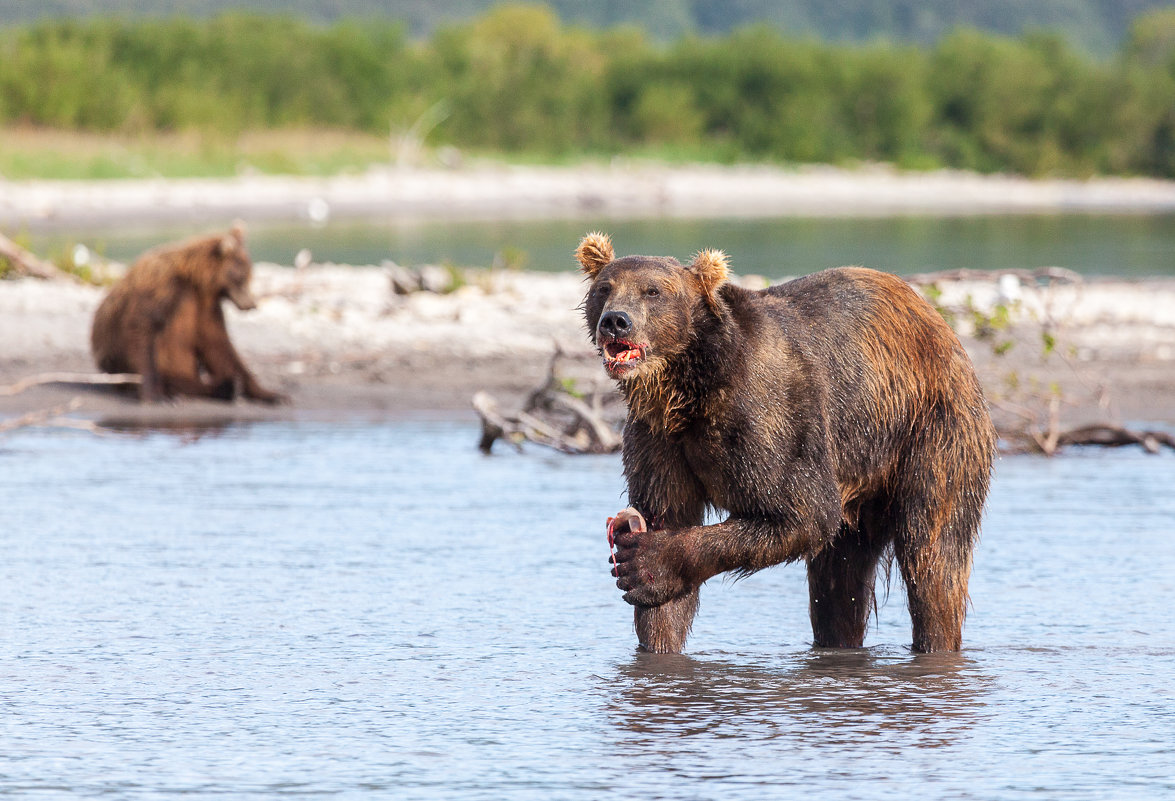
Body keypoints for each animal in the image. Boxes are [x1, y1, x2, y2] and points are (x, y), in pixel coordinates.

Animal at [90, 223, 285, 399]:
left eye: (249, 274)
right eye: (242, 277)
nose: (252, 304)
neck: (195, 279)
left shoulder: (204, 304)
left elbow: (218, 343)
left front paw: (268, 393)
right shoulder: (162, 286)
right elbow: (140, 327)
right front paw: (152, 393)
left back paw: (226, 387)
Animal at [575, 229, 991, 648]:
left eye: (653, 291)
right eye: (605, 288)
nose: (616, 321)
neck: (688, 388)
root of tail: (937, 321)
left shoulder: (769, 417)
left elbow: (803, 512)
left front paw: (647, 561)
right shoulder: (657, 437)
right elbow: (666, 526)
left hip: (930, 430)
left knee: (932, 556)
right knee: (838, 580)